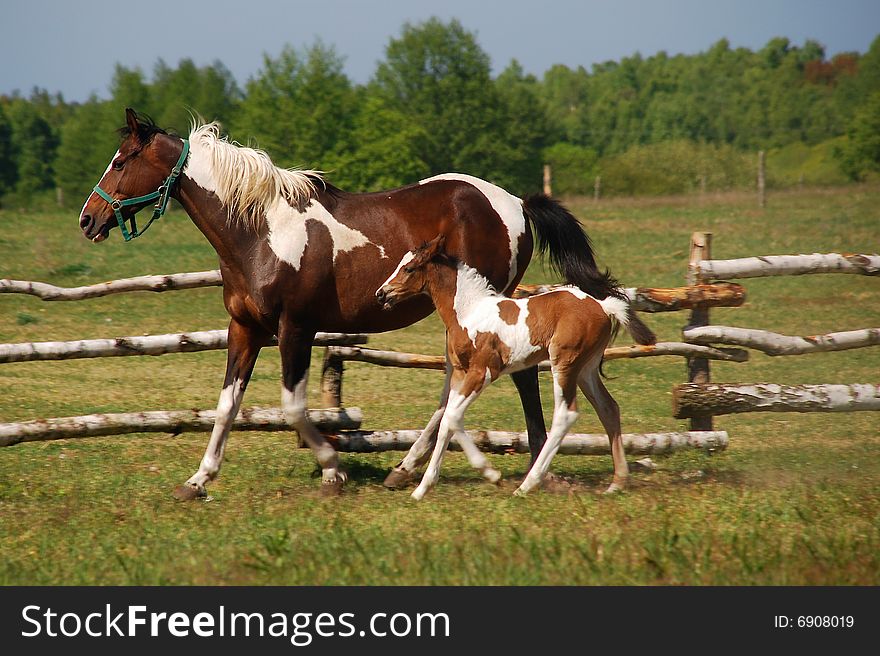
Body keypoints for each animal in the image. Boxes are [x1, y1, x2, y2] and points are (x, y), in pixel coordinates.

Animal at [378, 238, 632, 500]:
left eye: (409, 268)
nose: (381, 293)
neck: (468, 311)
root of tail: (603, 306)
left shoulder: (484, 371)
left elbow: (452, 416)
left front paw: (492, 475)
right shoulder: (459, 374)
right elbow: (448, 420)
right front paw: (421, 489)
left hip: (564, 363)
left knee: (566, 414)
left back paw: (528, 485)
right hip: (586, 369)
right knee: (608, 408)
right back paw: (617, 483)